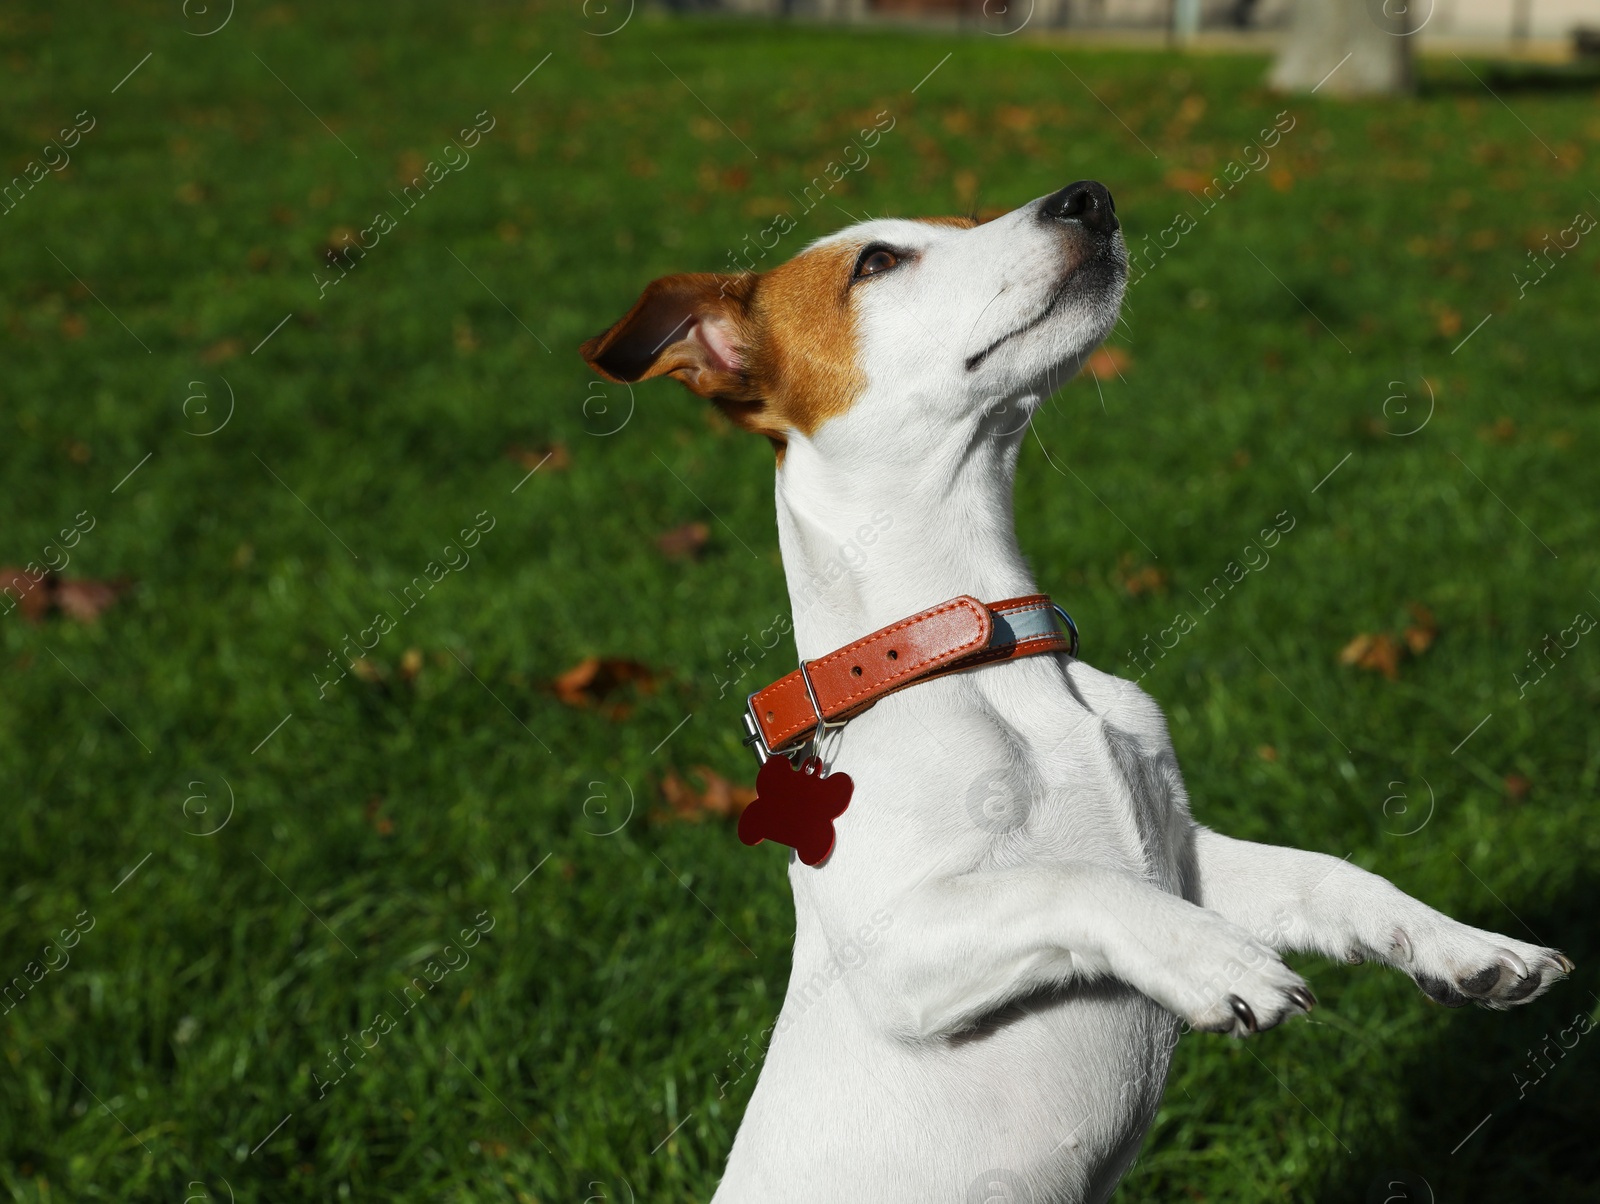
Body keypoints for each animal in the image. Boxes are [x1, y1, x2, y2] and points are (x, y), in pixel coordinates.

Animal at [582, 183, 1568, 1197]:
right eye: (876, 262)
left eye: (969, 218)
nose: (1088, 196)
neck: (990, 659)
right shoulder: (897, 949)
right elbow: (1073, 883)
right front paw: (1218, 960)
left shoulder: (1187, 856)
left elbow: (1333, 875)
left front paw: (1466, 947)